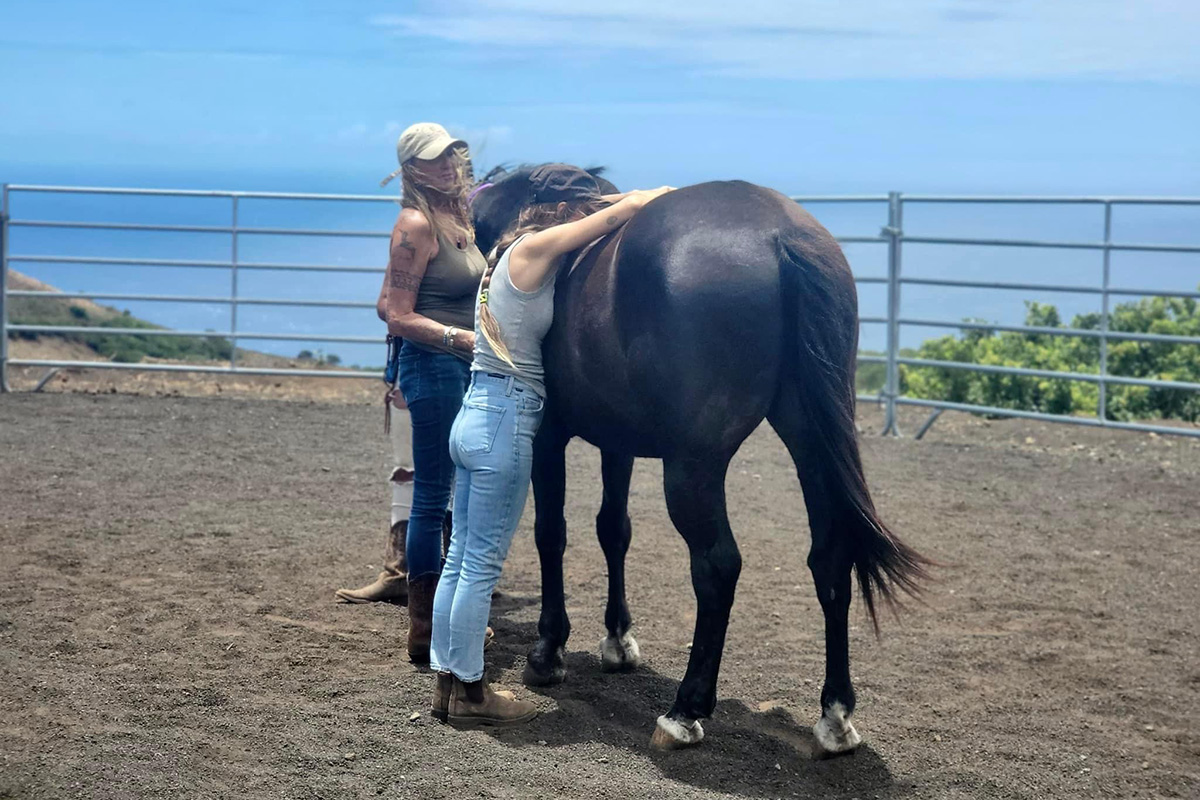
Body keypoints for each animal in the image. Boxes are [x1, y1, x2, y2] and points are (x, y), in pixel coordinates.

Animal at [468, 165, 926, 753]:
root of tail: (781, 235)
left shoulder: (547, 434)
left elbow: (552, 533)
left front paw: (549, 652)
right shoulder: (617, 442)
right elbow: (614, 529)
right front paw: (617, 639)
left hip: (694, 466)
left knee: (717, 566)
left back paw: (684, 710)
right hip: (809, 442)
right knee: (830, 557)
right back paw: (835, 715)